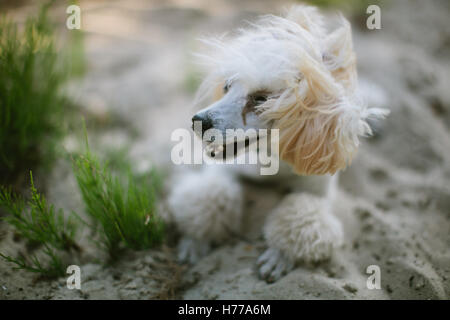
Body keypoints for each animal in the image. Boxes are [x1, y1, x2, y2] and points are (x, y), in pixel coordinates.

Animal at [167, 4, 388, 280]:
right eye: (227, 86)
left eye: (261, 100)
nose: (197, 121)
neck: (271, 158)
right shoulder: (224, 169)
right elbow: (211, 193)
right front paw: (197, 238)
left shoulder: (316, 190)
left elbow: (303, 214)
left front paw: (281, 254)